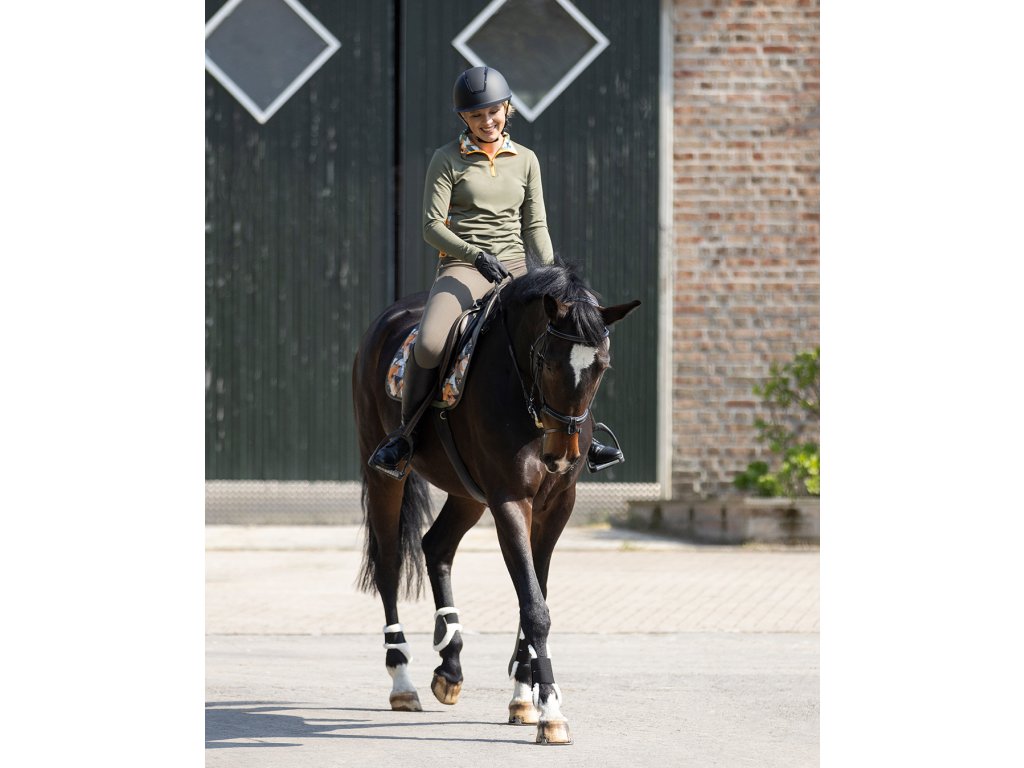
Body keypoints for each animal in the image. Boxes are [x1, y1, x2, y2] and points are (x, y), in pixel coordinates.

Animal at [351, 261, 640, 745]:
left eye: (602, 366)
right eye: (547, 361)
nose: (562, 454)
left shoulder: (557, 504)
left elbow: (534, 594)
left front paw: (525, 696)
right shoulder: (509, 500)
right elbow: (535, 606)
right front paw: (551, 712)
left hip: (468, 491)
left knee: (436, 546)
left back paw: (449, 666)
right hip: (385, 476)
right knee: (389, 563)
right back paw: (403, 680)